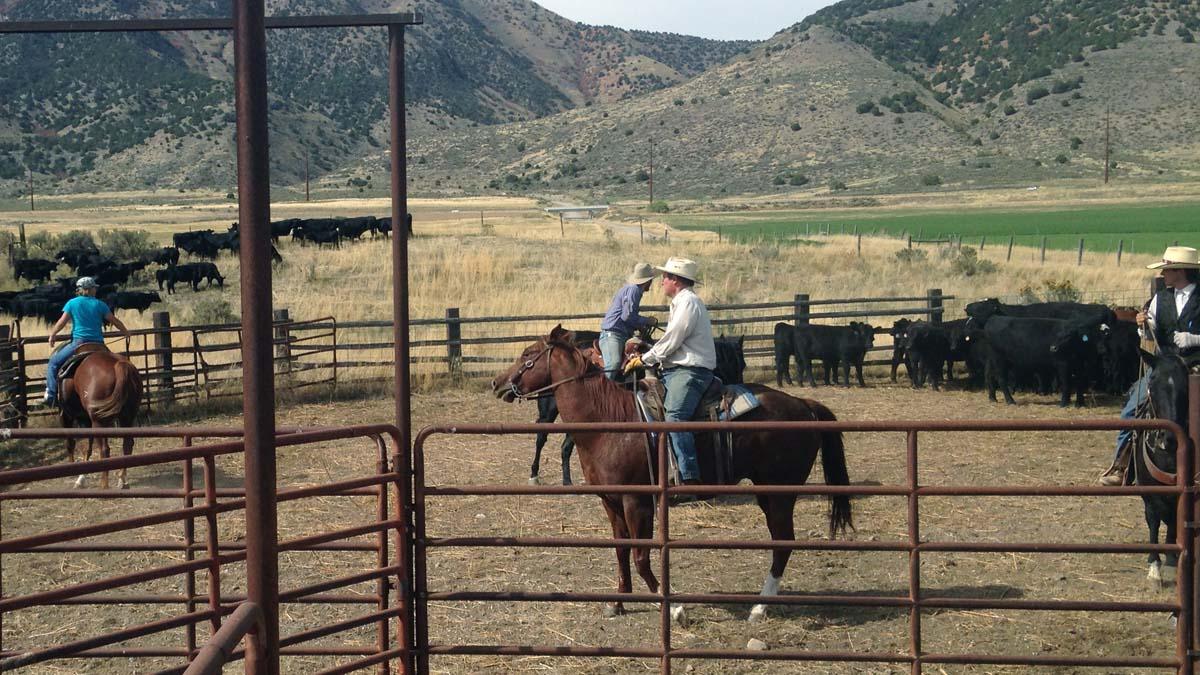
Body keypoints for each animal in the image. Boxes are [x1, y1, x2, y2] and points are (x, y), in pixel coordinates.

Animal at [58, 343, 142, 485]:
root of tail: (119, 365)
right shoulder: (86, 420)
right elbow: (88, 446)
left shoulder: (68, 415)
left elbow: (72, 443)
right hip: (127, 418)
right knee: (127, 445)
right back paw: (121, 479)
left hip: (99, 422)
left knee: (105, 450)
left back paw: (104, 483)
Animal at [489, 324, 854, 624]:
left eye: (527, 355)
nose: (497, 383)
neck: (610, 421)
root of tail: (804, 405)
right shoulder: (611, 501)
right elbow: (621, 550)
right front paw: (617, 602)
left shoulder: (637, 501)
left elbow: (641, 556)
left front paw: (675, 609)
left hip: (778, 492)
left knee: (782, 544)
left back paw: (759, 607)